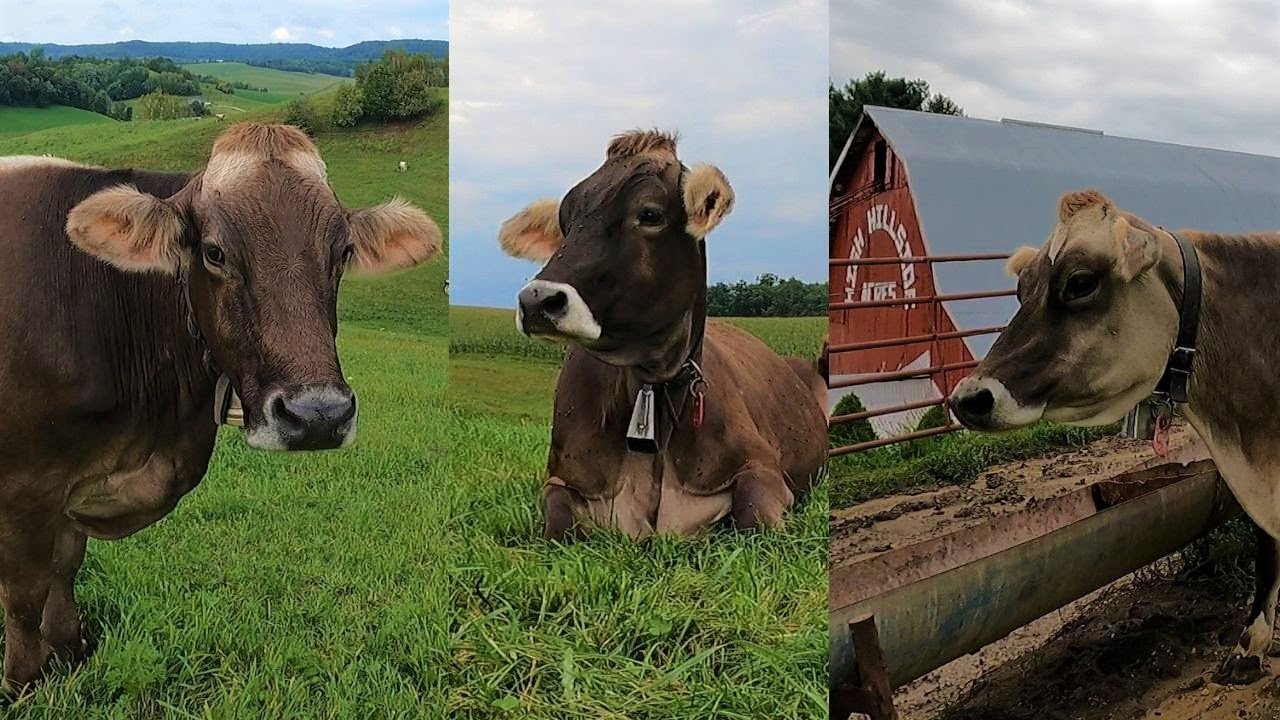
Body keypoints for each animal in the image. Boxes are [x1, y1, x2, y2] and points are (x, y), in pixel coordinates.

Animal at [0, 123, 441, 694]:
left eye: (343, 251)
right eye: (214, 252)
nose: (318, 416)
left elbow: (64, 567)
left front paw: (69, 651)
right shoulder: (26, 487)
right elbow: (25, 593)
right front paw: (25, 683)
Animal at [497, 130, 827, 540]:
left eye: (650, 214)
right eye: (565, 220)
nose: (537, 300)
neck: (649, 387)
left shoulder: (764, 470)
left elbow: (756, 516)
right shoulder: (561, 479)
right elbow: (557, 522)